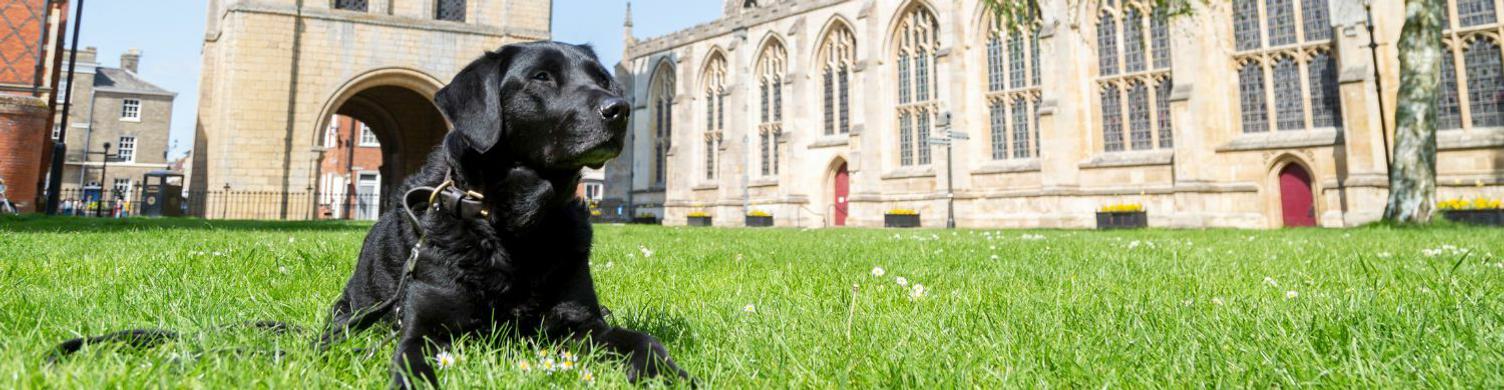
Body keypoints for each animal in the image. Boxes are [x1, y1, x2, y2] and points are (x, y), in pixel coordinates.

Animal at [323, 41, 691, 388]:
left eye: (602, 80)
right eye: (541, 77)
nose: (620, 109)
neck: (518, 224)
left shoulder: (583, 322)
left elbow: (643, 341)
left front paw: (672, 375)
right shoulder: (424, 328)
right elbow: (413, 369)